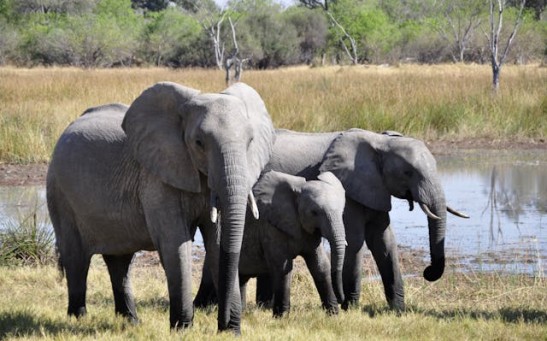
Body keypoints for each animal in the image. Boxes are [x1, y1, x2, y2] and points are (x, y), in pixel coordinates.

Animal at [47, 80, 276, 332]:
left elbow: (216, 242)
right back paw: (78, 318)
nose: (226, 325)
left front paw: (229, 331)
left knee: (120, 261)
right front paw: (182, 329)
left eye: (250, 142)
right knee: (76, 257)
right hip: (59, 192)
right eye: (199, 143)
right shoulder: (157, 178)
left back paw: (131, 321)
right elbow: (175, 243)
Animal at [238, 170, 344, 316]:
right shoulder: (271, 226)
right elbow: (283, 267)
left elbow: (320, 265)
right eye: (314, 212)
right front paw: (282, 317)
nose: (342, 301)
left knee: (241, 279)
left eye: (342, 211)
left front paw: (333, 315)